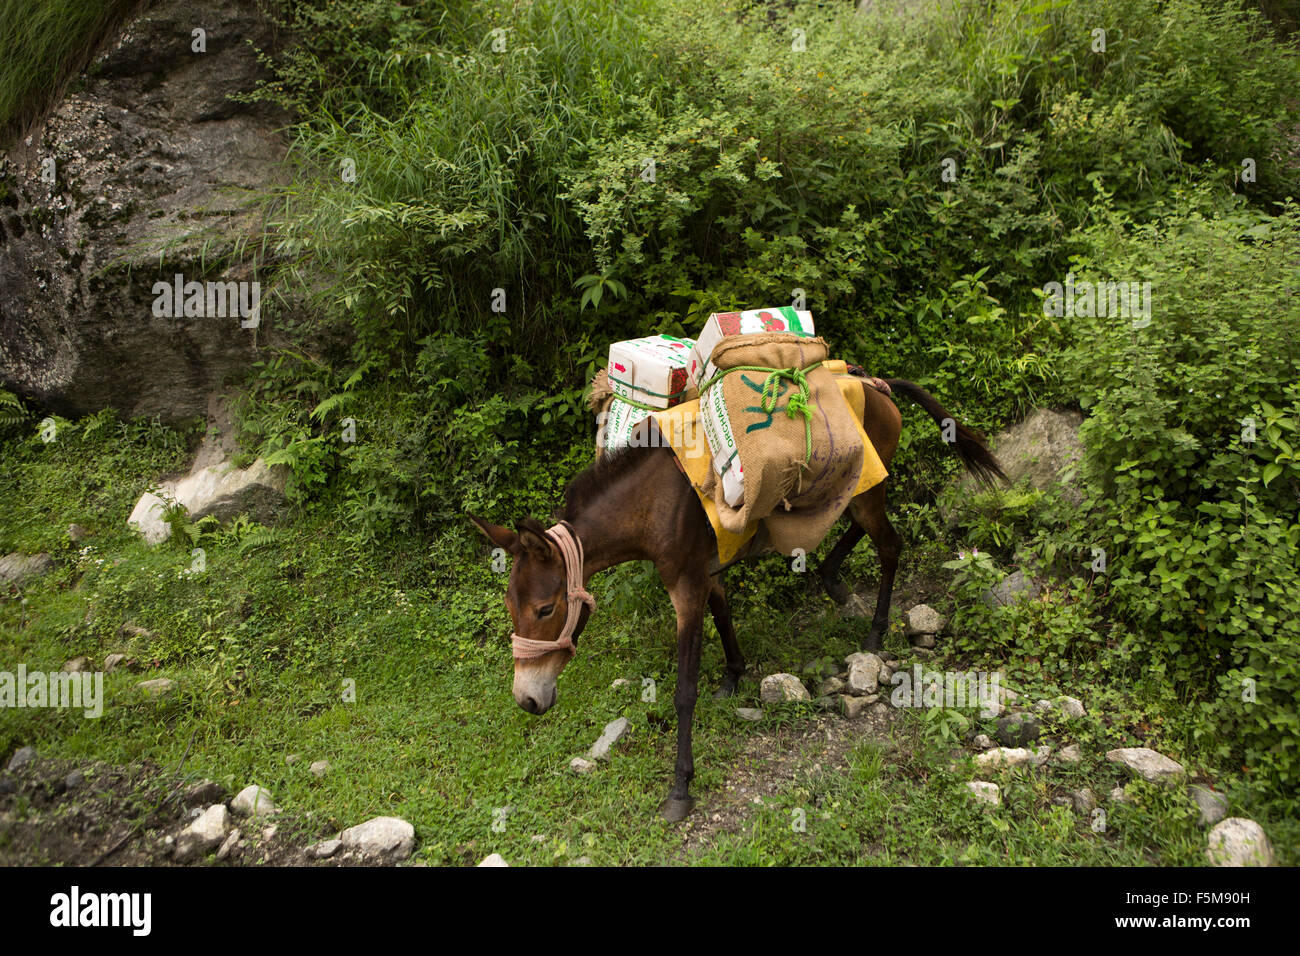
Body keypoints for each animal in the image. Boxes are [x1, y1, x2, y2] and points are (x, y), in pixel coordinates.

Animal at [470, 374, 1003, 822]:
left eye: (545, 609)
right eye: (511, 610)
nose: (526, 701)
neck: (651, 502)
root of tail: (875, 383)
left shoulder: (685, 585)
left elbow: (685, 690)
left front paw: (680, 787)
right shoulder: (706, 569)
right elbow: (723, 612)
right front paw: (733, 675)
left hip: (867, 488)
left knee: (890, 547)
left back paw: (874, 630)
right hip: (857, 492)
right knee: (858, 528)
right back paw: (831, 577)